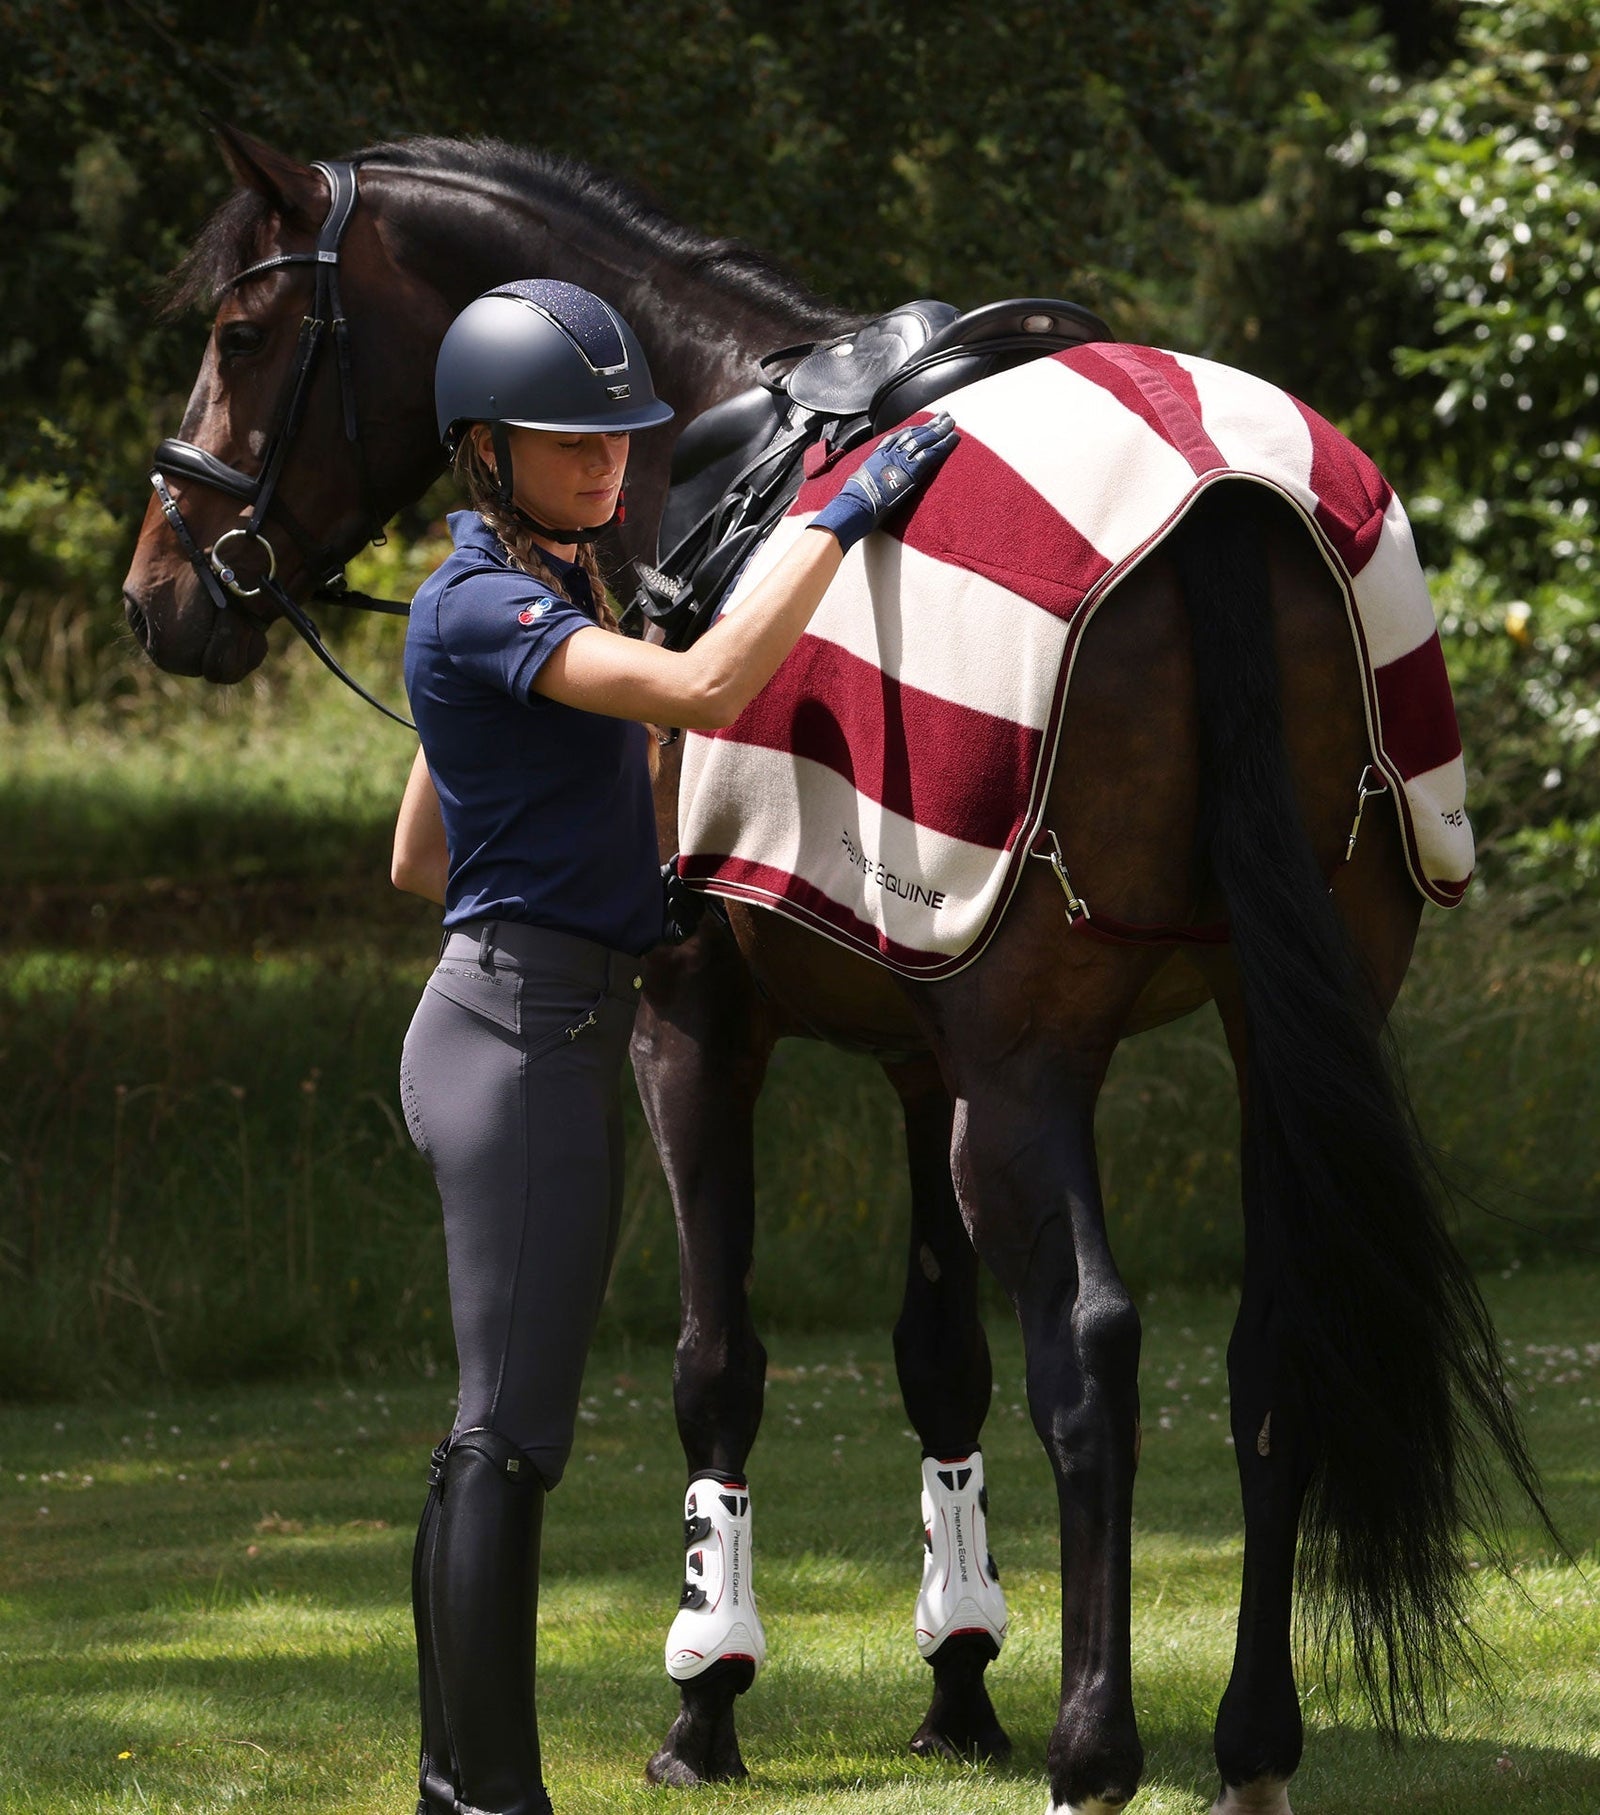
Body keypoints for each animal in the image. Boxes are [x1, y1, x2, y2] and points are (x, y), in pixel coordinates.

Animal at [123, 126, 1546, 1815]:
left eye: (241, 335)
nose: (159, 589)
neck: (703, 434)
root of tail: (1231, 505)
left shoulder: (698, 1028)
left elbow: (717, 1362)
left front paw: (706, 1696)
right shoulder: (923, 1053)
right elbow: (940, 1360)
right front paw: (958, 1680)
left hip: (1028, 1074)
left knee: (1093, 1352)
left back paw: (1095, 1744)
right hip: (1274, 1027)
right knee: (1272, 1347)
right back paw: (1249, 1743)